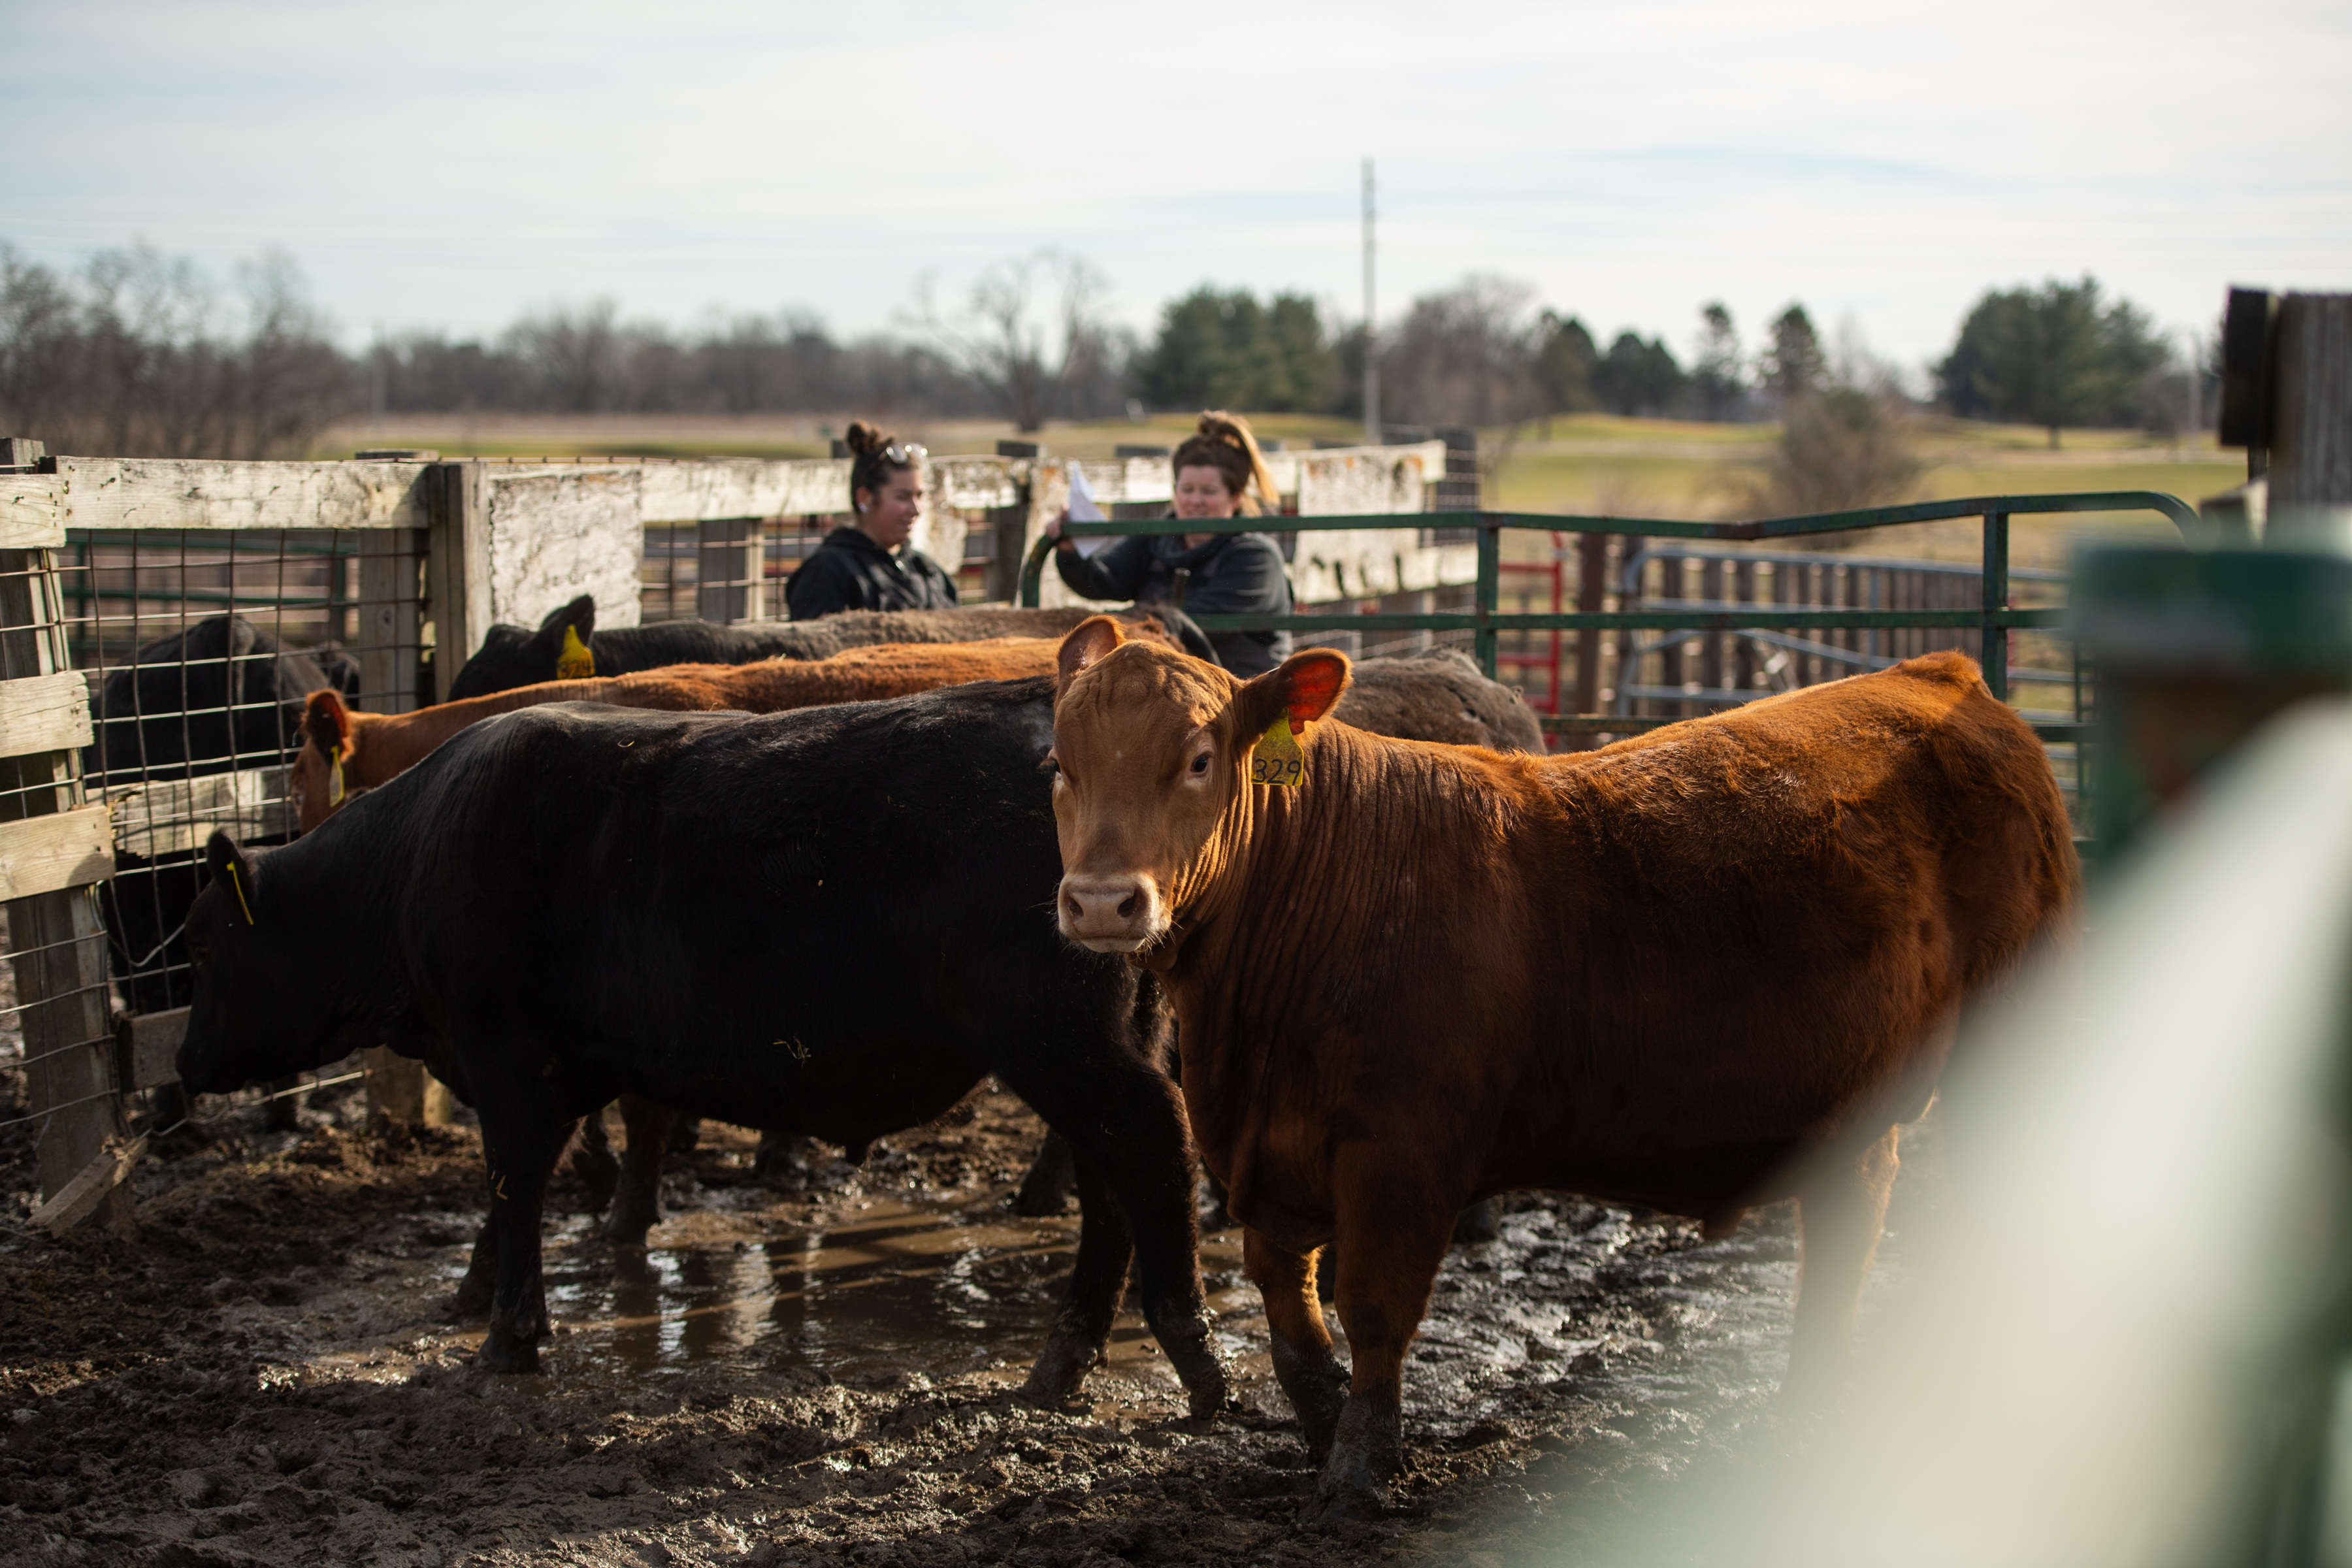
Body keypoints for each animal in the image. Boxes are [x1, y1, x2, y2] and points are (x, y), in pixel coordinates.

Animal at [171, 679, 1233, 1418]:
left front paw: (509, 1336)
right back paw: (1063, 1362)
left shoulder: (508, 1064)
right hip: (1091, 1046)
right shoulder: (553, 1072)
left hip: (1063, 1045)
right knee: (1109, 1186)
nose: (176, 1070)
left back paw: (1193, 1356)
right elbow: (521, 1189)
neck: (417, 854)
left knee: (1153, 1148)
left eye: (202, 949)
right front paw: (473, 1294)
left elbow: (514, 1184)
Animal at [1042, 617, 2078, 1522]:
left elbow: (1373, 1310)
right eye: (1060, 766)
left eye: (1200, 759)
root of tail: (1941, 675)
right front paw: (1328, 1429)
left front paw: (1359, 1471)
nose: (1101, 902)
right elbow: (1292, 1321)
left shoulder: (1402, 1155)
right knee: (1850, 1222)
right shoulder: (1272, 1156)